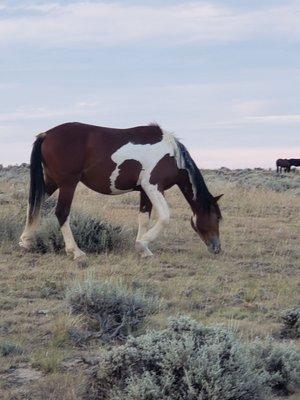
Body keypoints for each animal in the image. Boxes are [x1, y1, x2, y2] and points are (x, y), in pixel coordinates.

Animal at [19, 122, 223, 266]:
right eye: (217, 218)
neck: (172, 155)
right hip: (68, 184)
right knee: (61, 212)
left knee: (34, 203)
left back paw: (25, 241)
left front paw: (144, 250)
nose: (217, 248)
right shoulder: (153, 186)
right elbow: (165, 217)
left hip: (51, 182)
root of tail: (46, 134)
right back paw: (76, 252)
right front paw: (142, 244)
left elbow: (144, 218)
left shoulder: (144, 191)